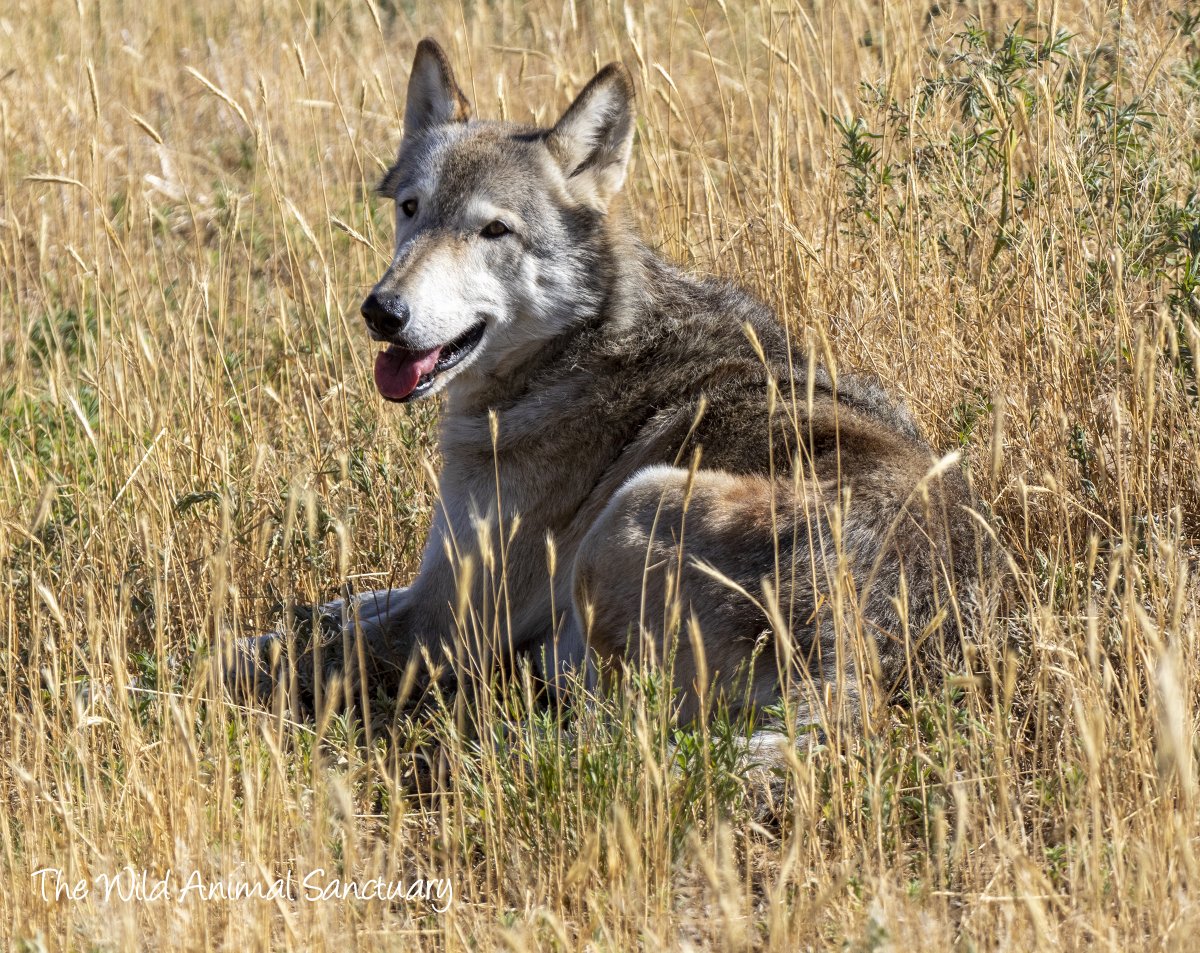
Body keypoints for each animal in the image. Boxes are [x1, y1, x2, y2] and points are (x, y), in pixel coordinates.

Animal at [230, 39, 990, 748]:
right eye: (411, 209)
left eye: (494, 230)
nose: (381, 311)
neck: (575, 352)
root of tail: (856, 668)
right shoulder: (425, 589)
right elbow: (322, 611)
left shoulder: (442, 621)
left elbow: (274, 655)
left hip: (636, 501)